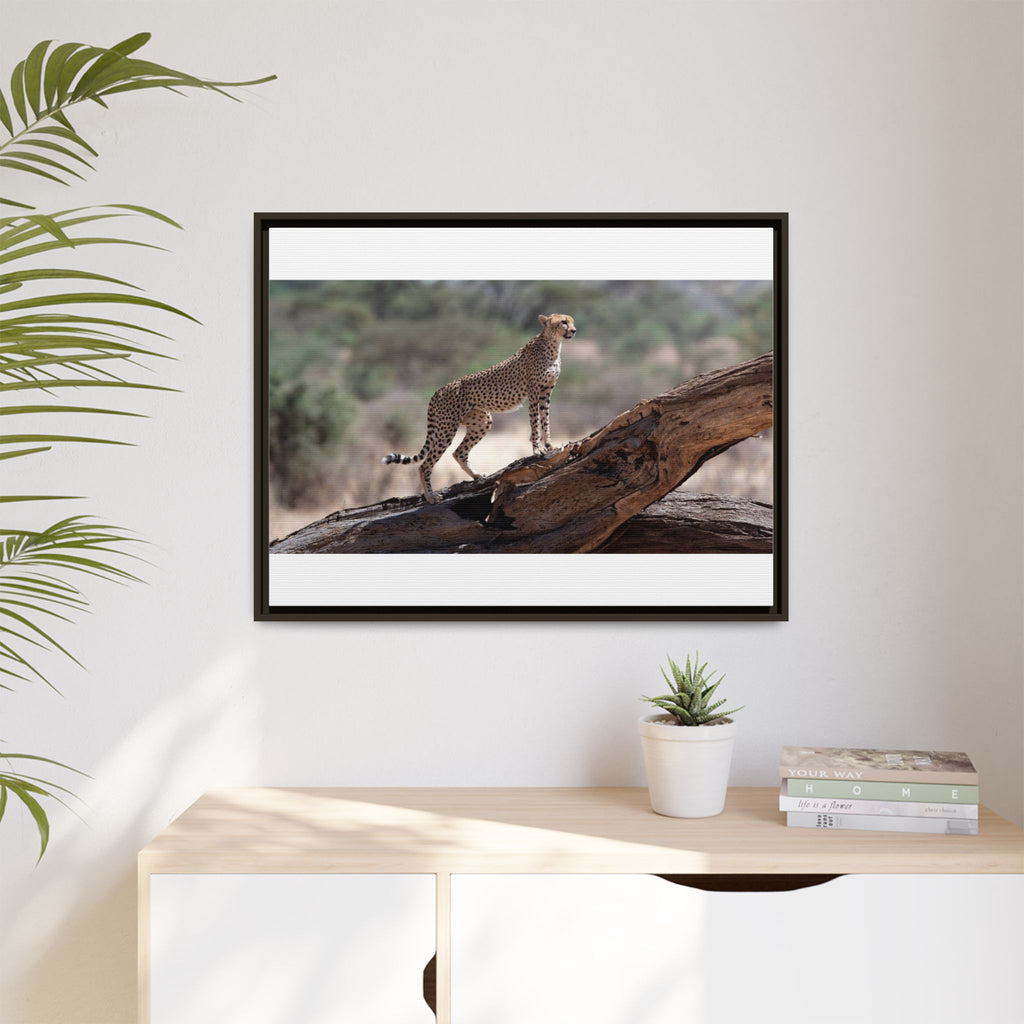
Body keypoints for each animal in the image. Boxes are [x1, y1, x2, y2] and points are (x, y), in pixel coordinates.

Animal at [382, 313, 577, 503]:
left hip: (481, 421)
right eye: (563, 322)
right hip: (447, 428)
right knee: (425, 465)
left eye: (572, 321)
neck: (553, 344)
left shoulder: (546, 393)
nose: (574, 330)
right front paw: (537, 449)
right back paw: (431, 497)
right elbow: (535, 423)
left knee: (459, 452)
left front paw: (549, 445)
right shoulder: (534, 392)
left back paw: (476, 476)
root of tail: (438, 391)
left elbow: (545, 420)